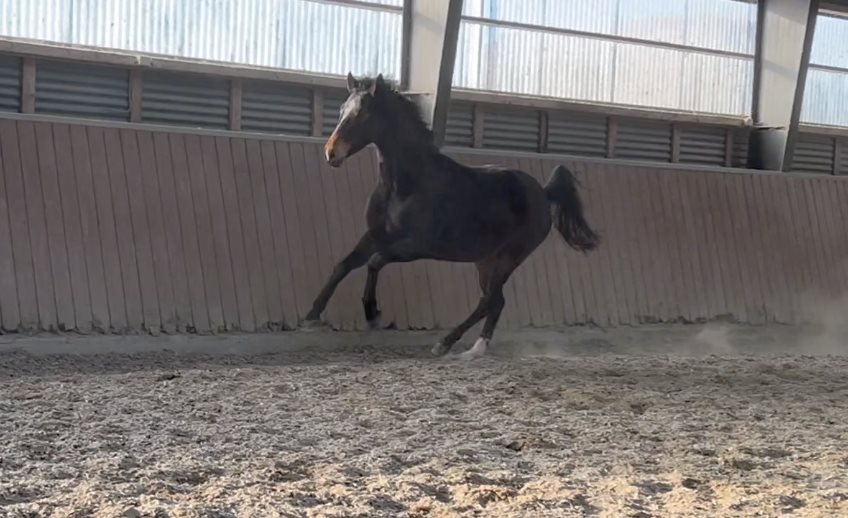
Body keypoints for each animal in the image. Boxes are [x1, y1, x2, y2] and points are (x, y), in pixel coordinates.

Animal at [302, 72, 599, 359]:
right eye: (342, 110)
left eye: (363, 113)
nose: (331, 153)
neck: (406, 185)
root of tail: (543, 193)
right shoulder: (375, 236)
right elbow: (342, 266)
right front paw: (311, 316)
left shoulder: (415, 247)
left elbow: (374, 263)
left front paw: (373, 314)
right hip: (485, 260)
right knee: (495, 300)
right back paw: (471, 349)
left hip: (509, 257)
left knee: (490, 300)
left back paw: (448, 345)